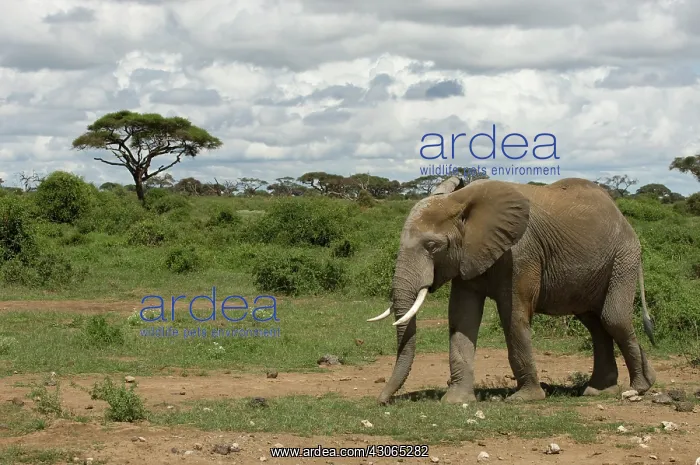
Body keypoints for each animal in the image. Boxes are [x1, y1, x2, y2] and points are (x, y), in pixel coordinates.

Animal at [367, 176, 656, 405]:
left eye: (432, 246)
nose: (382, 401)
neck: (461, 201)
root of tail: (623, 218)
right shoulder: (468, 255)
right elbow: (461, 317)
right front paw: (456, 401)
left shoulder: (520, 254)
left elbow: (514, 316)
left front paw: (525, 399)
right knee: (596, 324)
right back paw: (605, 390)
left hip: (624, 258)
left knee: (612, 318)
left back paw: (637, 389)